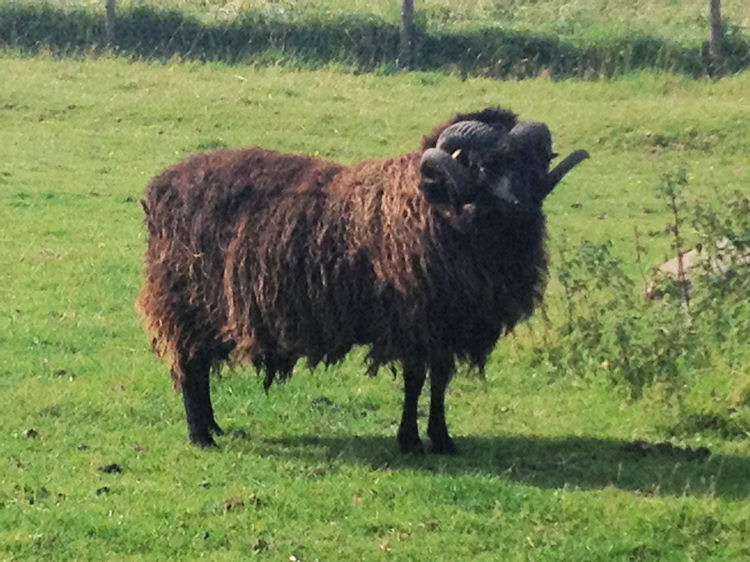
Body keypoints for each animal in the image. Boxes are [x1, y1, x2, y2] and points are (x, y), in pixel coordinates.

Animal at [138, 107, 592, 452]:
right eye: (483, 166)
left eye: (531, 164)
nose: (519, 204)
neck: (435, 205)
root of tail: (158, 188)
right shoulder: (414, 321)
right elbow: (415, 380)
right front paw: (410, 441)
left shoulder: (446, 324)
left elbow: (439, 381)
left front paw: (442, 439)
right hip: (185, 303)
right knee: (190, 367)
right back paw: (200, 436)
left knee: (197, 371)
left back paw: (213, 428)